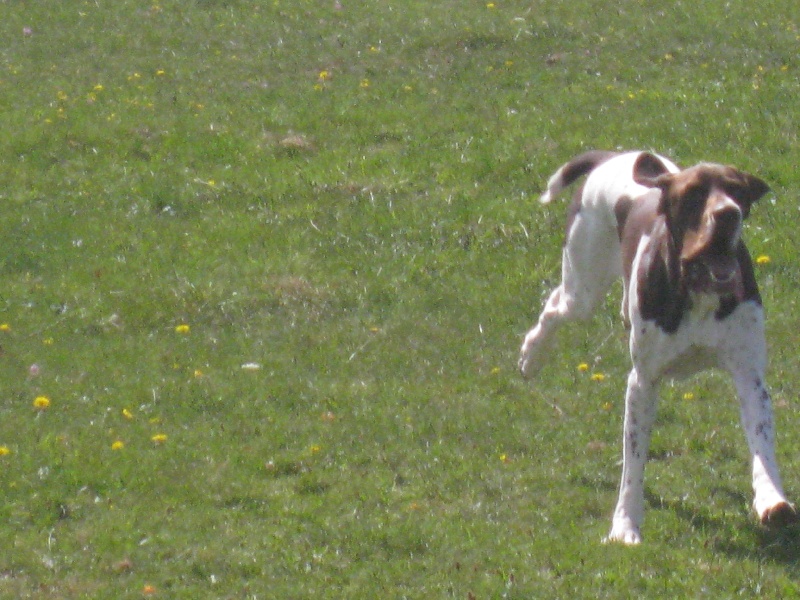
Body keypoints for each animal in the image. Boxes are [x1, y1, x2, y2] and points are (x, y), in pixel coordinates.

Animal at [520, 149, 792, 544]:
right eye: (693, 193)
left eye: (737, 191)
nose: (728, 214)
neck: (697, 289)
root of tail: (611, 155)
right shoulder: (643, 383)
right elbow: (633, 461)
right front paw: (625, 523)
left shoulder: (750, 378)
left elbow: (762, 445)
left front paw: (772, 499)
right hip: (583, 287)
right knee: (557, 306)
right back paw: (531, 355)